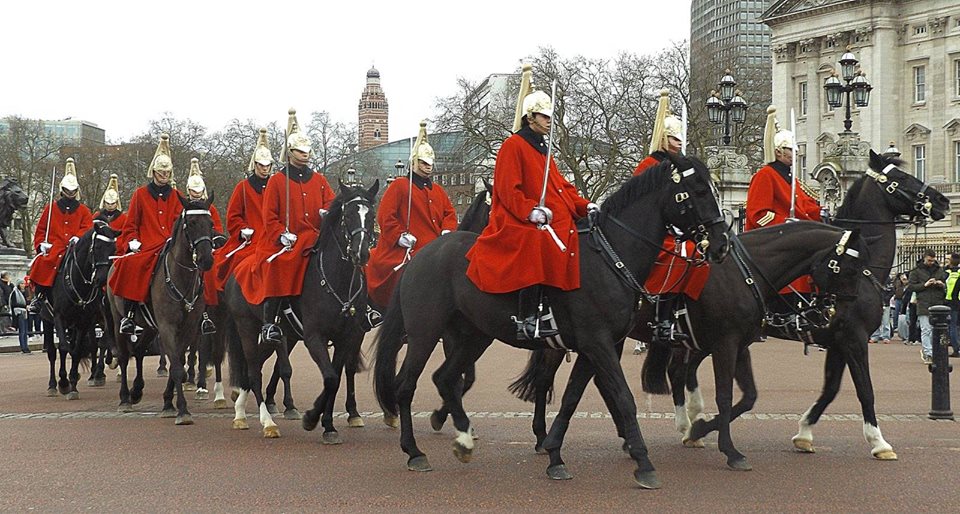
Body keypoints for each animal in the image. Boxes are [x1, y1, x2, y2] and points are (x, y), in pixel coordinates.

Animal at [41, 219, 120, 396]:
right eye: (97, 247)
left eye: (113, 250)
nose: (102, 279)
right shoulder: (59, 317)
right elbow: (64, 348)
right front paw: (64, 382)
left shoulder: (85, 321)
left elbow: (80, 349)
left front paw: (73, 382)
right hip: (48, 321)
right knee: (52, 351)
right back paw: (52, 384)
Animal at [106, 194, 217, 422]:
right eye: (192, 223)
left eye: (210, 224)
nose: (206, 260)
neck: (180, 277)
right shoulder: (167, 326)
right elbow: (176, 366)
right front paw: (182, 410)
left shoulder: (188, 328)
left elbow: (179, 362)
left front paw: (168, 402)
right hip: (118, 320)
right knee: (124, 356)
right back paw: (125, 398)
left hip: (150, 327)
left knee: (139, 351)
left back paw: (137, 390)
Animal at [223, 180, 376, 440]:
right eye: (348, 215)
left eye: (372, 215)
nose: (361, 253)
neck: (338, 282)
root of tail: (238, 268)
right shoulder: (315, 337)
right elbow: (330, 378)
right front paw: (312, 418)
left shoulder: (346, 337)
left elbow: (335, 379)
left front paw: (328, 425)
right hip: (247, 327)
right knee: (253, 371)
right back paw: (266, 421)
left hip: (280, 335)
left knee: (253, 368)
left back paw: (241, 412)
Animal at [374, 158, 728, 486]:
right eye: (699, 191)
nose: (722, 243)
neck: (610, 258)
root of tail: (422, 254)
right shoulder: (597, 342)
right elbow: (623, 397)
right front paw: (643, 462)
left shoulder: (596, 345)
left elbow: (572, 397)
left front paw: (554, 452)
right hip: (425, 333)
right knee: (406, 384)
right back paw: (414, 451)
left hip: (472, 336)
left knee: (446, 378)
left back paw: (462, 439)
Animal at [668, 148, 952, 456]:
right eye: (900, 178)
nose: (943, 201)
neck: (862, 266)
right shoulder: (854, 337)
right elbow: (865, 389)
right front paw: (879, 441)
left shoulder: (838, 341)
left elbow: (831, 389)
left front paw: (804, 432)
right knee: (679, 369)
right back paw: (689, 423)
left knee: (685, 369)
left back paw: (693, 419)